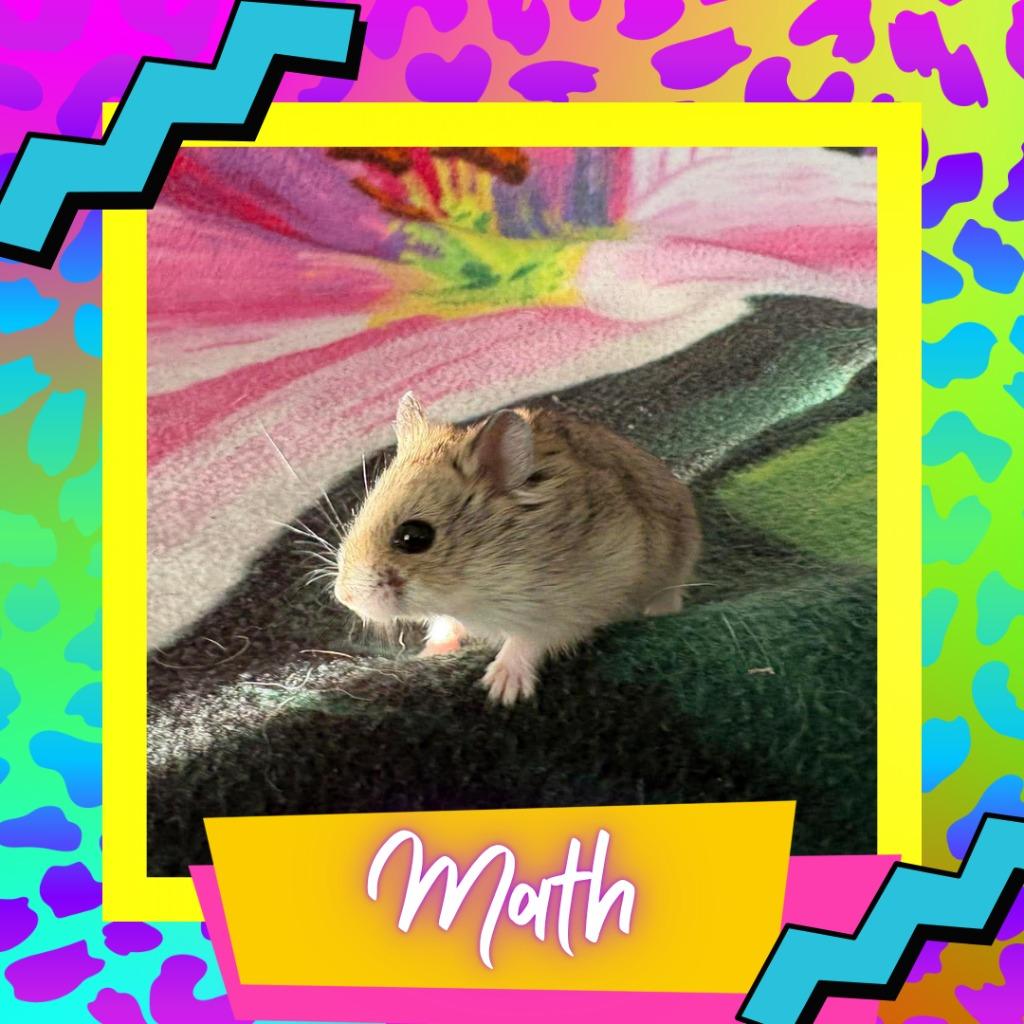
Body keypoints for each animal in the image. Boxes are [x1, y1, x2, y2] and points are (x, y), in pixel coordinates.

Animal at [334, 392, 701, 705]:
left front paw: (500, 691)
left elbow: (526, 640)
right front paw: (428, 656)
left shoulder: (568, 606)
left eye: (413, 537)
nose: (343, 597)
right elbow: (443, 625)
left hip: (680, 551)